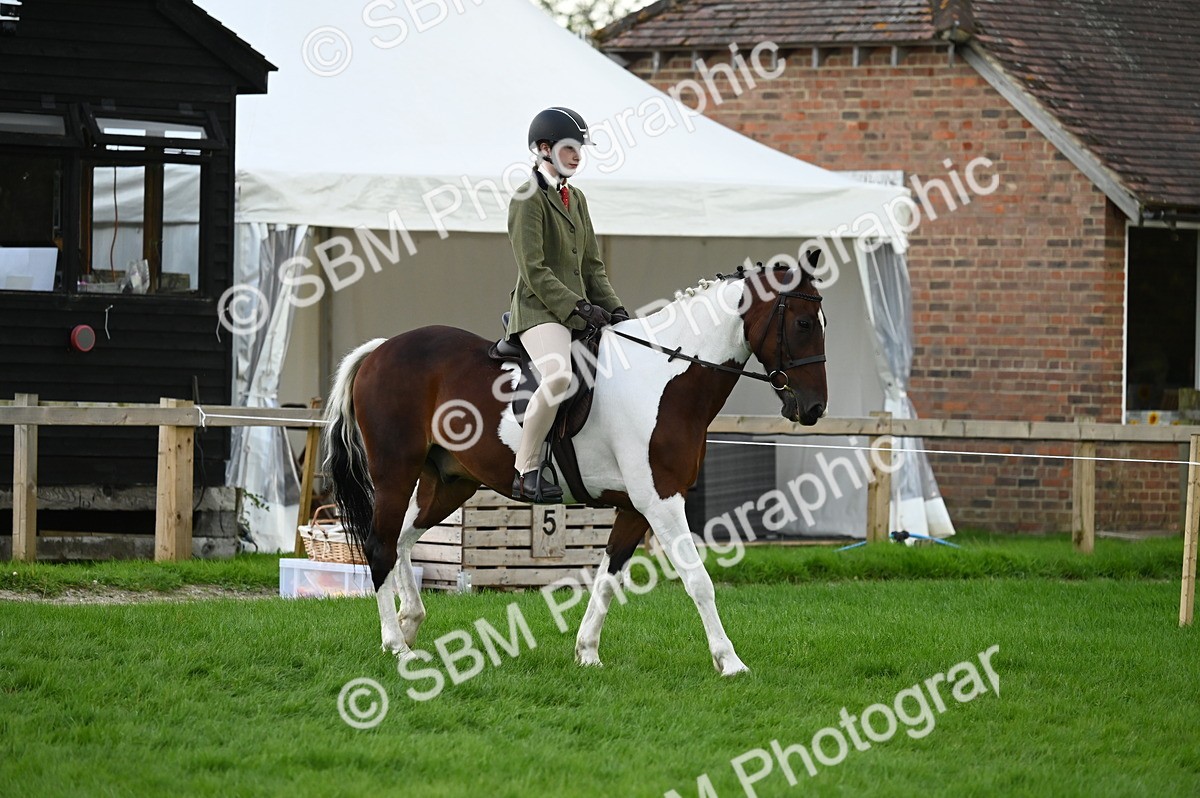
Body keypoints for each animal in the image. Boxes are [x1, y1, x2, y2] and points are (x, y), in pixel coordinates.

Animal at [323, 262, 828, 676]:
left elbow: (607, 580)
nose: (813, 408)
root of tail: (380, 350)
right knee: (380, 545)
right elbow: (698, 579)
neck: (666, 378)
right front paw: (730, 661)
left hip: (449, 483)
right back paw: (396, 644)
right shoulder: (662, 501)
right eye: (803, 323)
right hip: (395, 472)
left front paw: (587, 652)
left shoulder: (635, 508)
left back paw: (410, 623)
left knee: (403, 539)